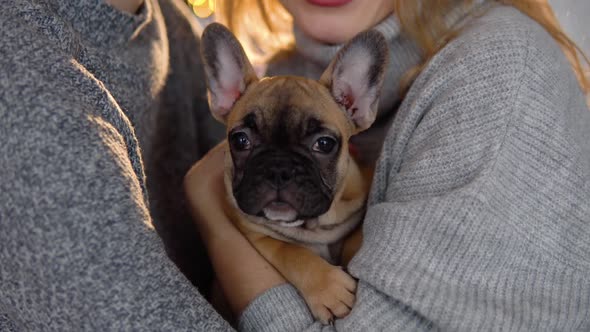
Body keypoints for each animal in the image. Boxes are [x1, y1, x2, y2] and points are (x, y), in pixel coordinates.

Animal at [194, 22, 388, 322]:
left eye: (324, 144)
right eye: (240, 140)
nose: (278, 169)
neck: (313, 227)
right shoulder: (255, 233)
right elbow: (290, 250)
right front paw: (328, 288)